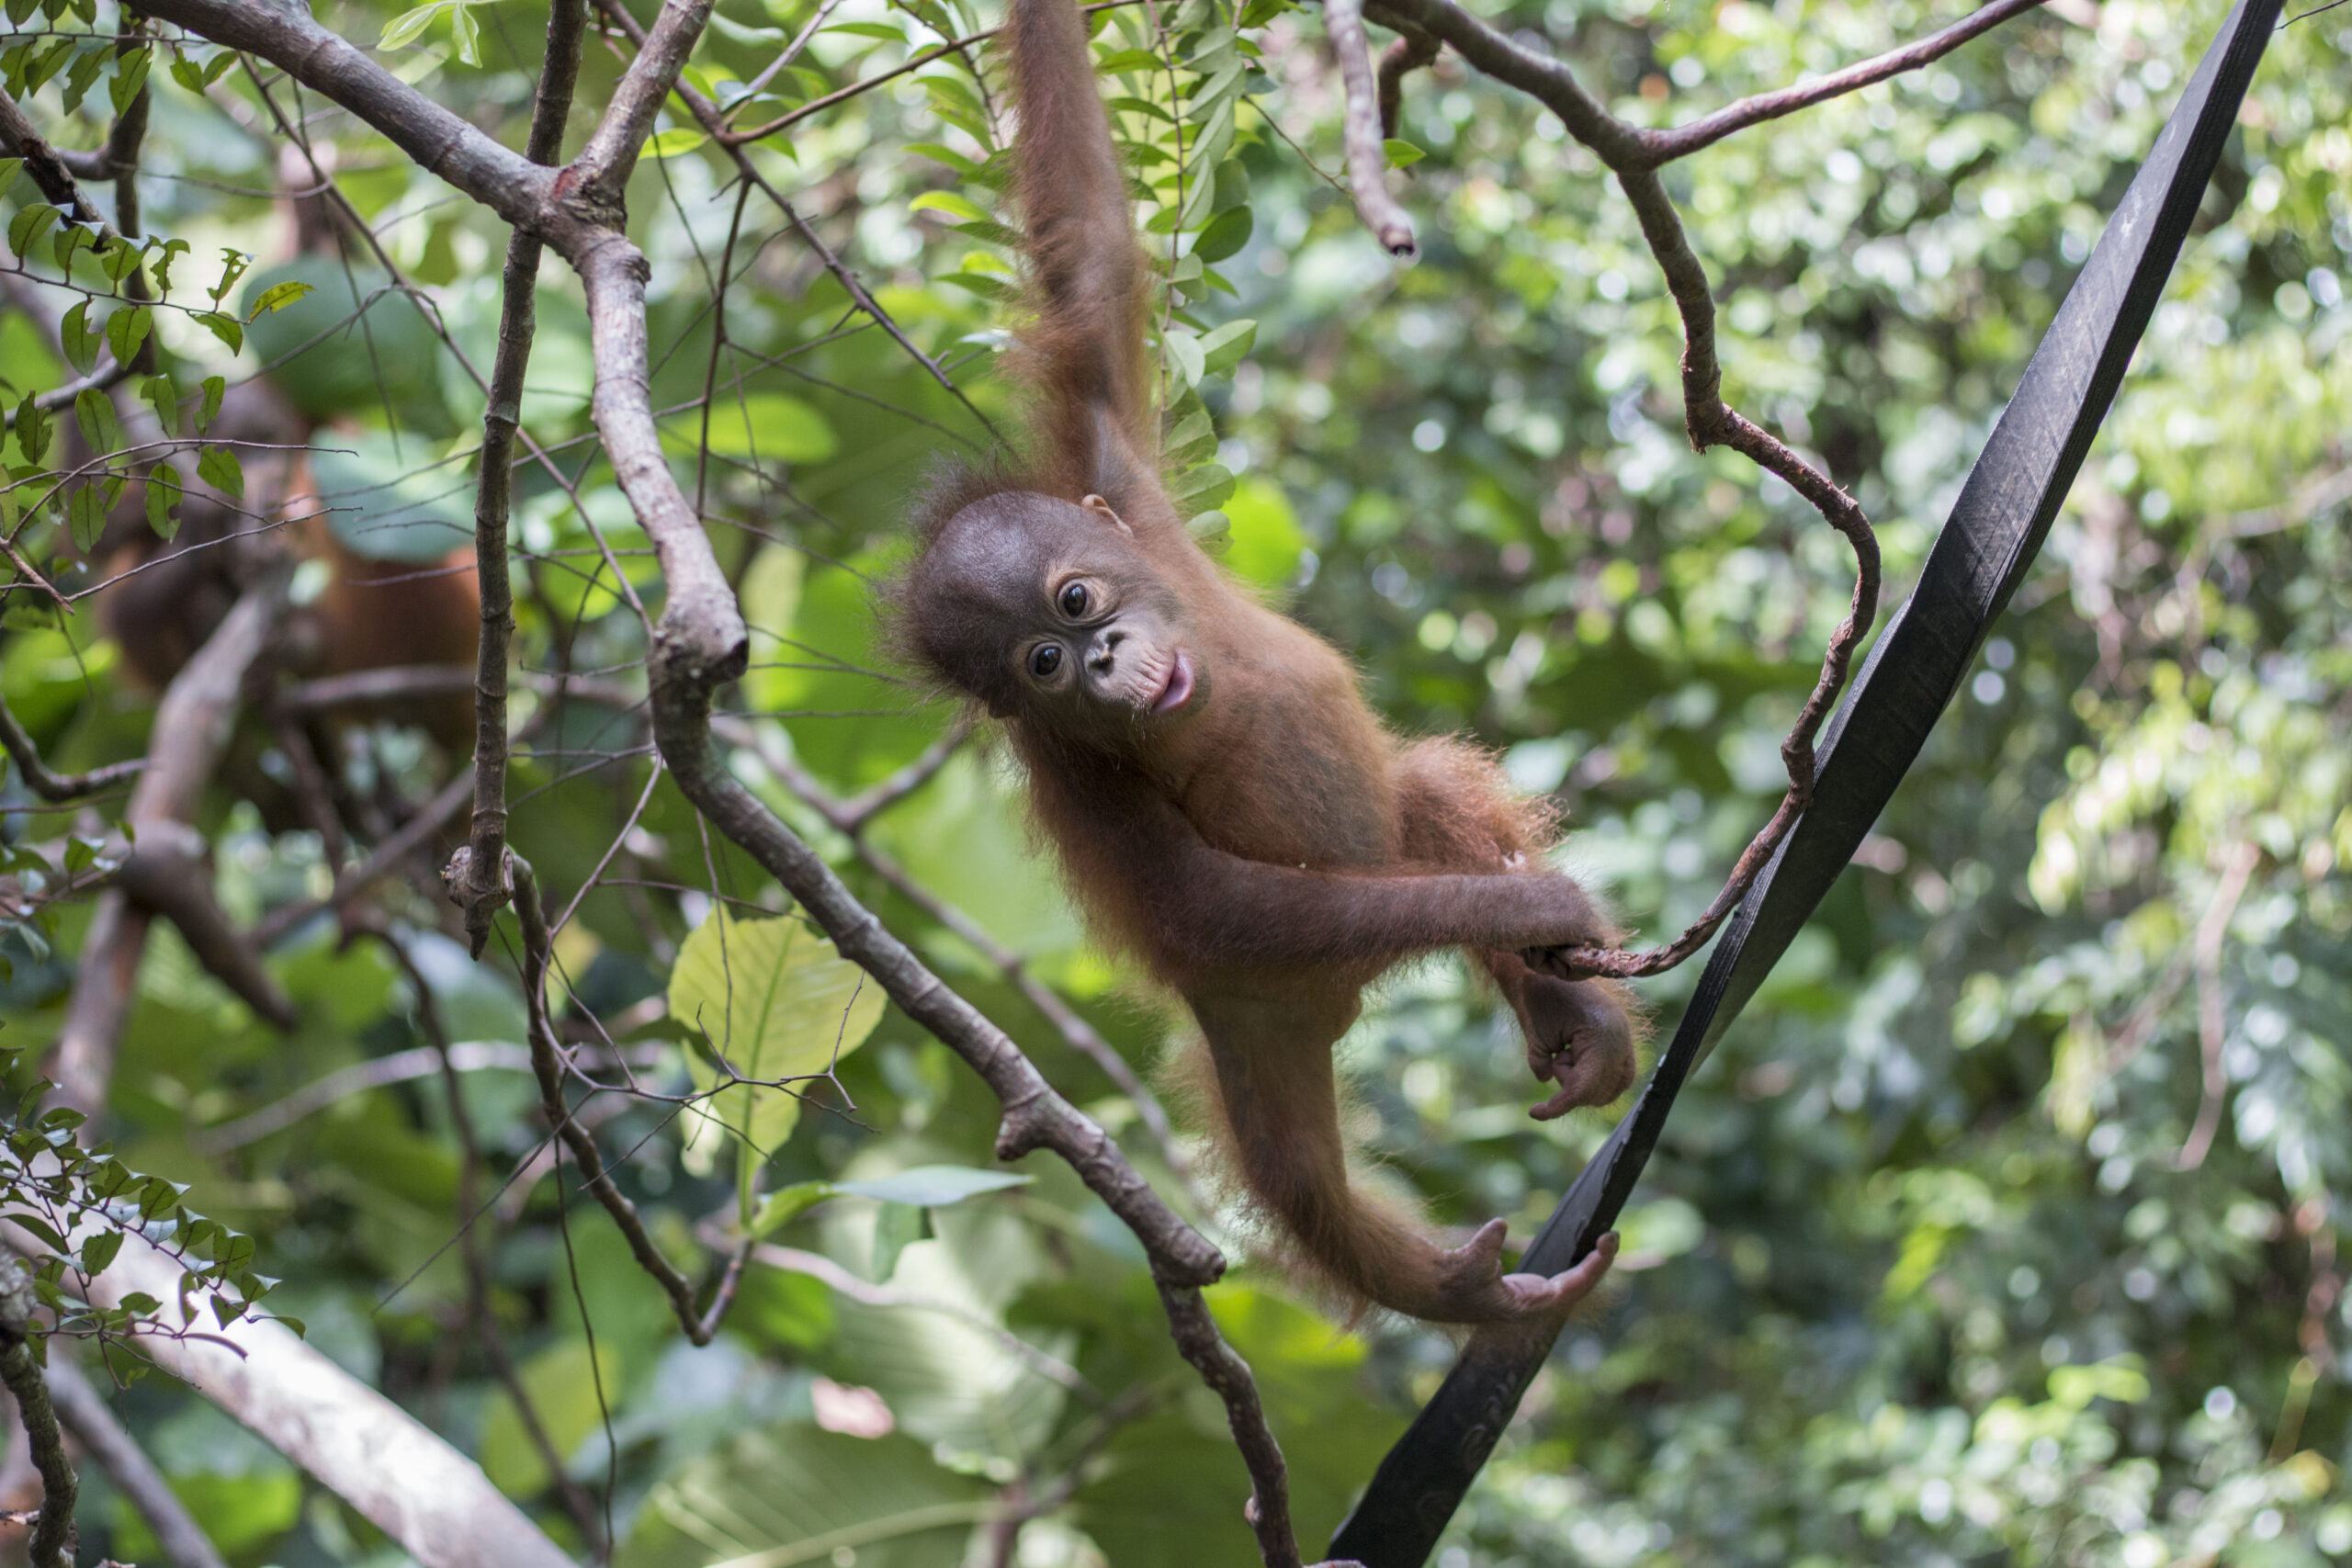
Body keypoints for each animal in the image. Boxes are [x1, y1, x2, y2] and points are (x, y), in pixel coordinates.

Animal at [894, 0, 1634, 1323]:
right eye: (1041, 665)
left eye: (1075, 599)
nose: (1103, 661)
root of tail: (1339, 1013)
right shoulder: (1079, 779)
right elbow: (1208, 899)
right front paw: (1536, 905)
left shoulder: (1112, 463)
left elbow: (1089, 247)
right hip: (1260, 1019)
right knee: (1299, 1178)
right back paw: (1467, 1289)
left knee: (1423, 789)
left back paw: (1568, 1017)